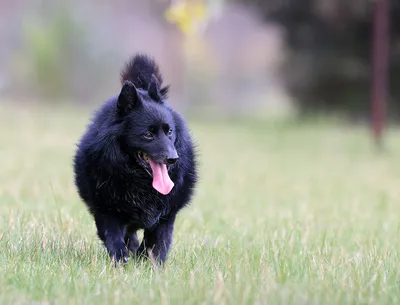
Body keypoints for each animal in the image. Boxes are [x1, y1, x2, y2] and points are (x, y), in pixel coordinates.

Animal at [73, 54, 198, 264]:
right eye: (148, 134)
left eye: (169, 131)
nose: (173, 158)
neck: (139, 182)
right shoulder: (106, 210)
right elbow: (114, 237)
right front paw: (120, 259)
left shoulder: (166, 216)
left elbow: (156, 244)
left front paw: (150, 263)